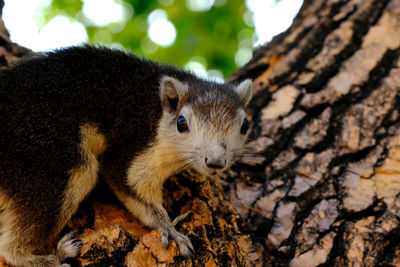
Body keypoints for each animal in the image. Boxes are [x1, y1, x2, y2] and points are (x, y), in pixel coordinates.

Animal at [0, 45, 253, 266]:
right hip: (49, 157)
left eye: (245, 125)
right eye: (181, 123)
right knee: (8, 248)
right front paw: (169, 228)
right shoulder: (133, 144)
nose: (216, 162)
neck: (156, 111)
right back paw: (53, 257)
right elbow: (131, 184)